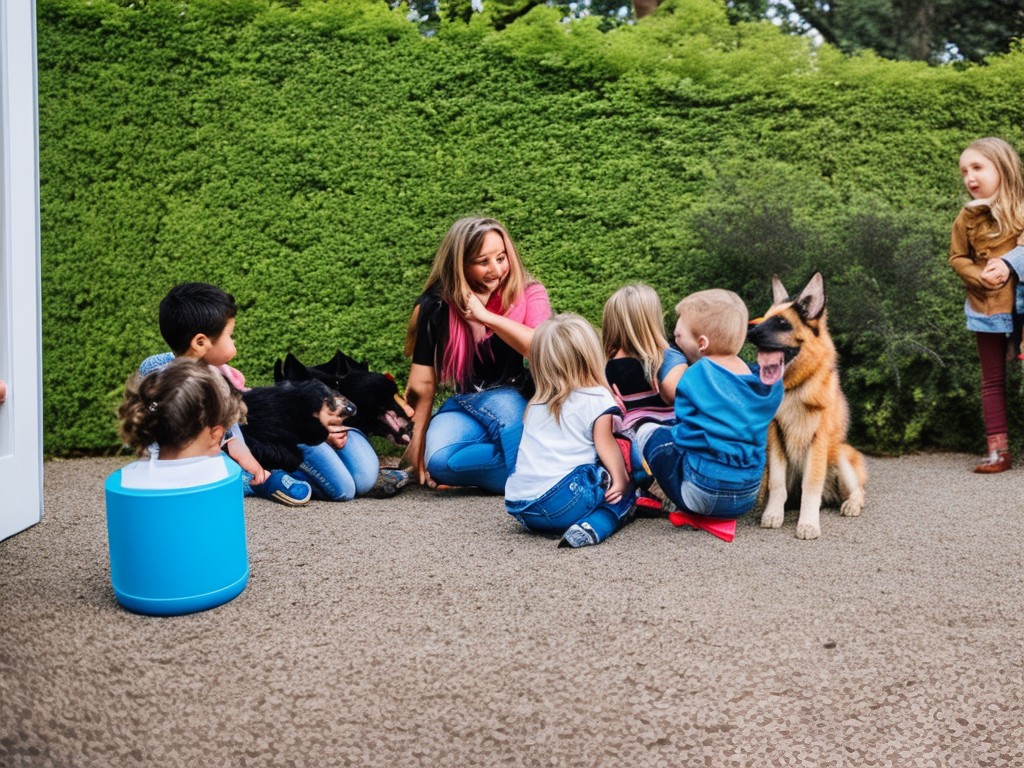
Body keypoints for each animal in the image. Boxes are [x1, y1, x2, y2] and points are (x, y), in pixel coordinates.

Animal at [745, 274, 864, 540]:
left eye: (781, 323)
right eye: (765, 318)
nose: (749, 330)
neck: (794, 389)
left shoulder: (817, 442)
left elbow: (811, 485)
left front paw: (808, 524)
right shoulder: (776, 441)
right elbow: (776, 484)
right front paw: (773, 514)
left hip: (840, 453)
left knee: (858, 491)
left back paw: (851, 504)